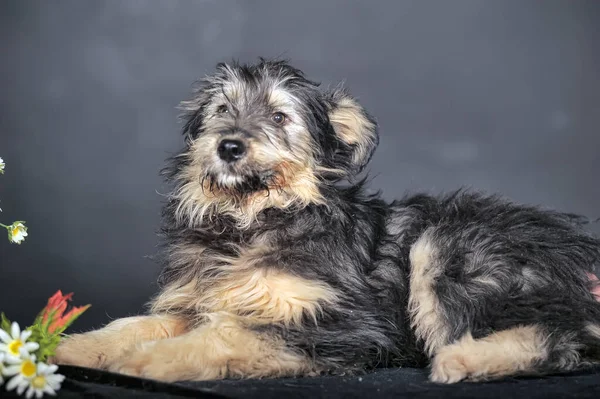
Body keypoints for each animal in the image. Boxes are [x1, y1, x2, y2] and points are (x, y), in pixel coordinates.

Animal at [52, 58, 600, 384]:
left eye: (279, 117)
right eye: (223, 109)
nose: (228, 146)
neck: (252, 221)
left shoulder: (342, 324)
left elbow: (228, 335)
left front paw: (146, 362)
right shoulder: (196, 302)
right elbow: (132, 324)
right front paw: (72, 345)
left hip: (448, 246)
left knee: (559, 339)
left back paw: (462, 359)